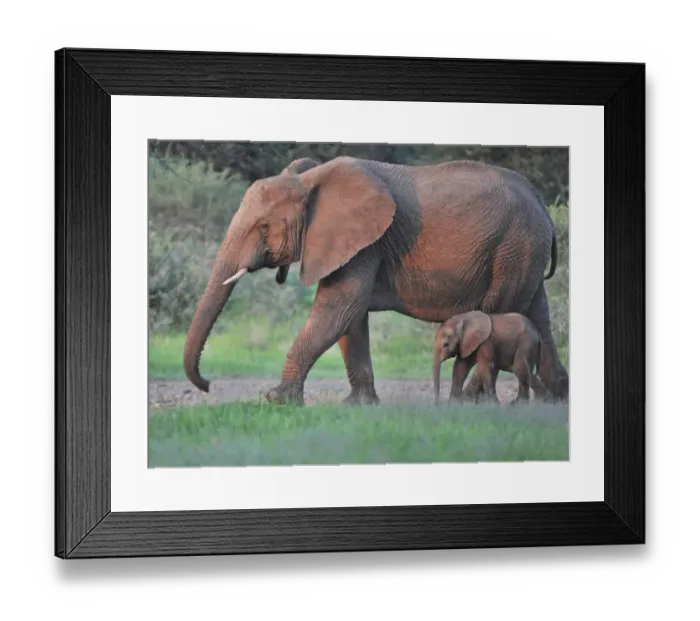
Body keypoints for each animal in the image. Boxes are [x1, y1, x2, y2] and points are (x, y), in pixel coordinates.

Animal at [182, 155, 569, 406]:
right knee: (538, 315)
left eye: (264, 227)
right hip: (524, 252)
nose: (208, 384)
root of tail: (542, 205)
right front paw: (359, 404)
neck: (310, 182)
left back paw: (472, 402)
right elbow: (349, 319)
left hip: (513, 249)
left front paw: (277, 400)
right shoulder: (355, 244)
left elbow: (339, 307)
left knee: (502, 313)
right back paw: (554, 401)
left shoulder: (364, 241)